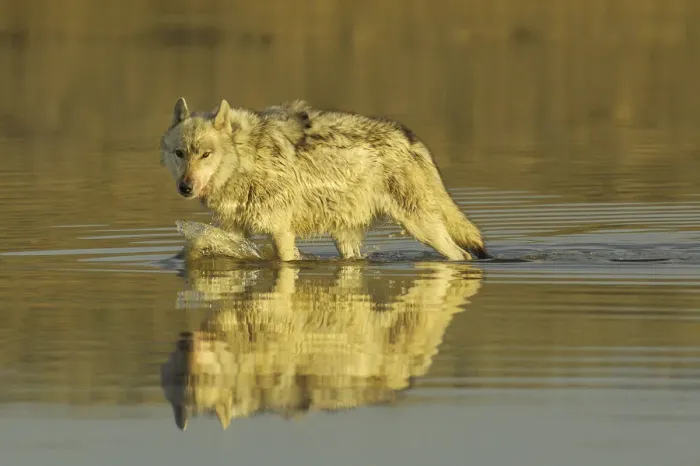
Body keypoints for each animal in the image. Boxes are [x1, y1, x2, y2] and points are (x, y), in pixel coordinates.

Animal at [159, 97, 489, 261]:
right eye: (180, 153)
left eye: (205, 154)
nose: (185, 187)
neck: (246, 159)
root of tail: (411, 138)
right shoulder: (235, 229)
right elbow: (198, 244)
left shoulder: (281, 232)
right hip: (345, 238)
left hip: (422, 228)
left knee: (462, 255)